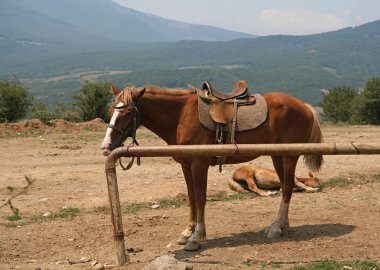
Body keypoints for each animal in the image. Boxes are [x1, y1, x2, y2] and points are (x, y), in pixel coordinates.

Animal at [99, 80, 322, 251]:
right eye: (111, 110)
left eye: (128, 112)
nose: (106, 146)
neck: (181, 116)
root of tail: (304, 106)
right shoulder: (186, 165)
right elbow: (191, 198)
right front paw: (187, 232)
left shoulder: (199, 164)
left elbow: (200, 199)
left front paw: (196, 237)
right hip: (278, 156)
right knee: (286, 185)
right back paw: (281, 225)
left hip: (289, 156)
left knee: (288, 188)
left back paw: (276, 228)